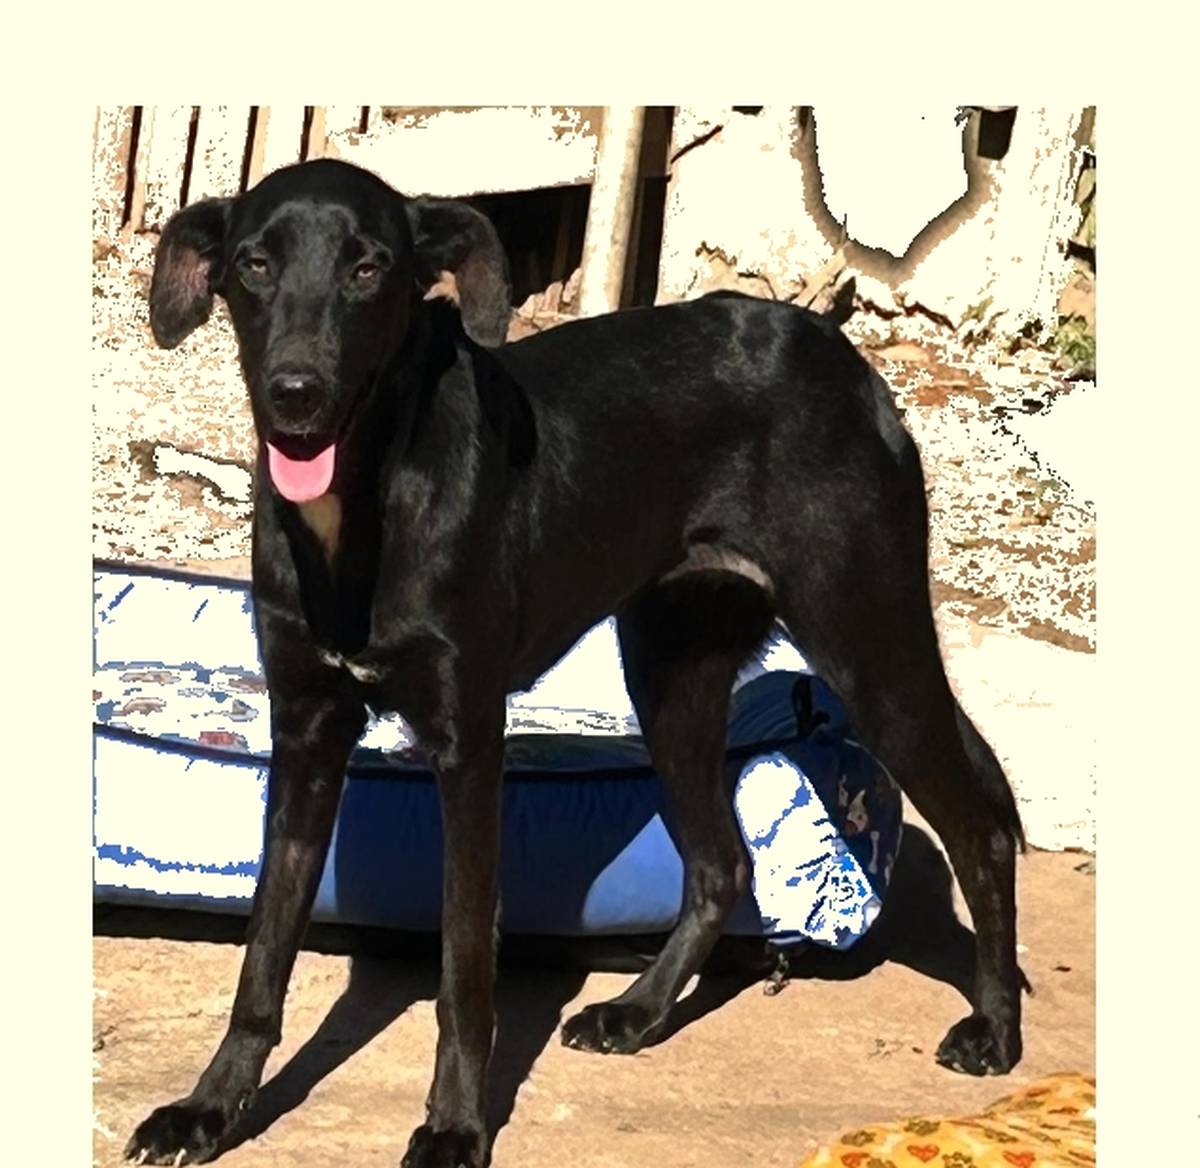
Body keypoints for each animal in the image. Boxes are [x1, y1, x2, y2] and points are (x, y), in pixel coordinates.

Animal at [125, 158, 1024, 1167]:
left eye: (368, 269)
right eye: (253, 263)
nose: (295, 394)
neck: (363, 500)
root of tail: (841, 355)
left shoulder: (468, 745)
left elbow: (464, 968)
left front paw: (456, 1125)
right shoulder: (306, 735)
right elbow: (264, 953)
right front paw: (211, 1107)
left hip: (867, 642)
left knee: (982, 827)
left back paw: (994, 1030)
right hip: (671, 674)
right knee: (722, 864)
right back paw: (638, 1013)